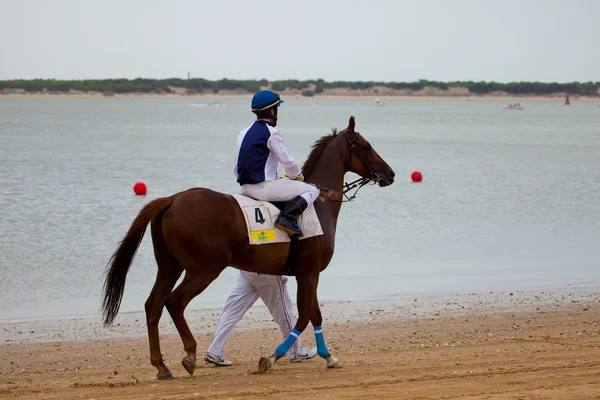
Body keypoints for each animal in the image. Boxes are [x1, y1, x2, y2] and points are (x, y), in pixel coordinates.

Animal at [101, 115, 396, 378]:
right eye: (366, 145)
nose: (390, 173)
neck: (319, 204)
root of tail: (172, 199)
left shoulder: (306, 274)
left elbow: (313, 315)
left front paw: (325, 356)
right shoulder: (309, 273)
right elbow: (306, 316)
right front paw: (276, 357)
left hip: (169, 266)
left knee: (153, 305)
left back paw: (161, 366)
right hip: (204, 269)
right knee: (174, 301)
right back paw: (190, 354)